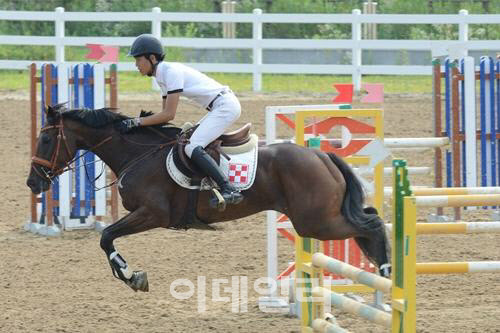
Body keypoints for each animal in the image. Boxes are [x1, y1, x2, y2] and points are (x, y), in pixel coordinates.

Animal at [26, 104, 390, 290]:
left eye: (45, 140)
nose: (33, 183)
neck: (137, 154)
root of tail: (321, 154)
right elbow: (107, 238)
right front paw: (131, 275)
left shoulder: (152, 214)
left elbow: (106, 237)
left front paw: (131, 277)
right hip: (318, 219)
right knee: (367, 220)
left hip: (316, 221)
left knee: (371, 224)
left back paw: (386, 271)